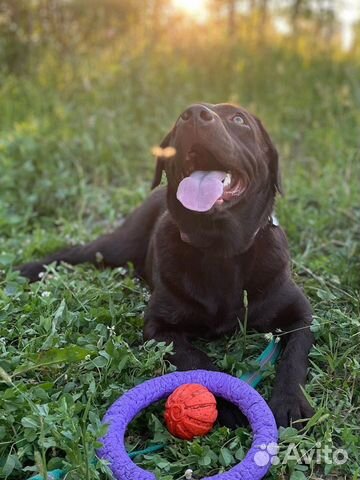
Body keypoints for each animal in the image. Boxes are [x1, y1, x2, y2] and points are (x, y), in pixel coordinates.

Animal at [19, 102, 316, 428]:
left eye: (239, 119)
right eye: (177, 123)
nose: (194, 113)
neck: (220, 251)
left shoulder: (301, 314)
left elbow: (294, 357)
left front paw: (289, 402)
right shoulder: (159, 327)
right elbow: (197, 360)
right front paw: (228, 400)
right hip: (117, 245)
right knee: (78, 252)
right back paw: (30, 269)